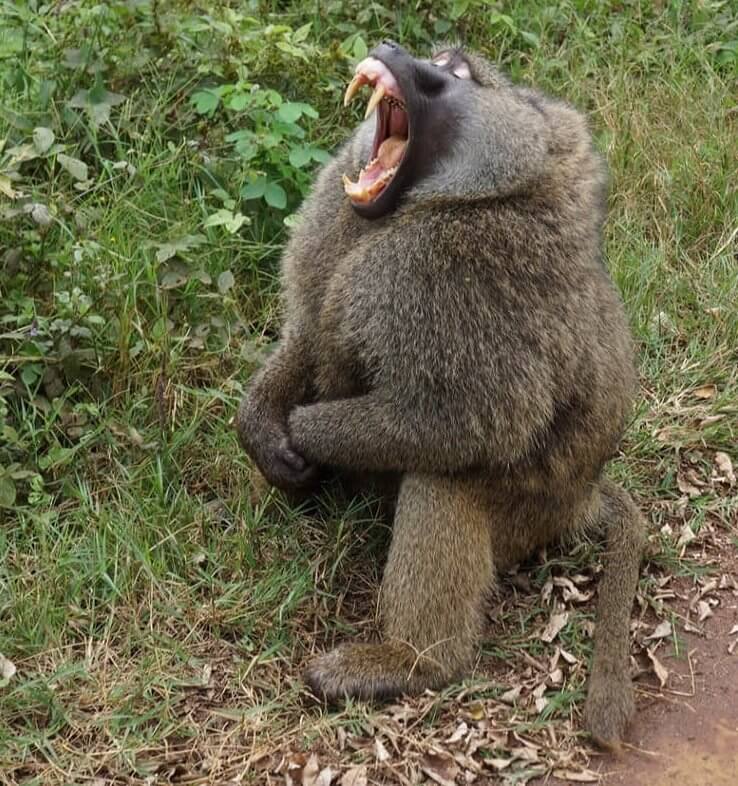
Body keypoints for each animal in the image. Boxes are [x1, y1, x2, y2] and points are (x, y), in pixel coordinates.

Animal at [236, 41, 645, 750]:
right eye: (440, 54)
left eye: (454, 71)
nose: (390, 49)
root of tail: (583, 495)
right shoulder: (334, 223)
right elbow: (311, 330)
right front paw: (263, 426)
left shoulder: (446, 270)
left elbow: (468, 423)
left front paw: (306, 429)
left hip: (527, 512)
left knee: (443, 479)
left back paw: (409, 663)